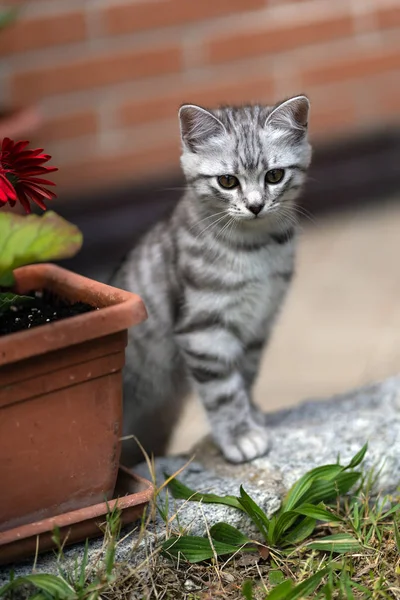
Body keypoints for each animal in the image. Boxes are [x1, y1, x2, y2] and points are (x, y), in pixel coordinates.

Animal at [112, 96, 312, 466]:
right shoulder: (203, 330)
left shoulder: (258, 323)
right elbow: (223, 392)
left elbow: (245, 376)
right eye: (227, 181)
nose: (256, 205)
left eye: (274, 175)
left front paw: (252, 413)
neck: (256, 248)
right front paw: (241, 434)